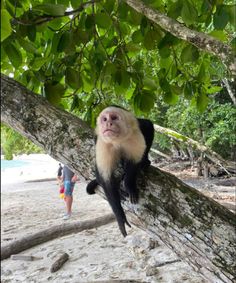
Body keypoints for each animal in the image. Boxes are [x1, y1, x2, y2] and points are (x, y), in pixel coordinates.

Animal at [85, 106, 154, 237]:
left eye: (114, 118)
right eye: (104, 119)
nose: (108, 123)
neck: (117, 140)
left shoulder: (134, 134)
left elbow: (134, 163)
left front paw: (129, 185)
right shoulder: (103, 144)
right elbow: (105, 179)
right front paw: (119, 216)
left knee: (147, 127)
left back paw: (144, 162)